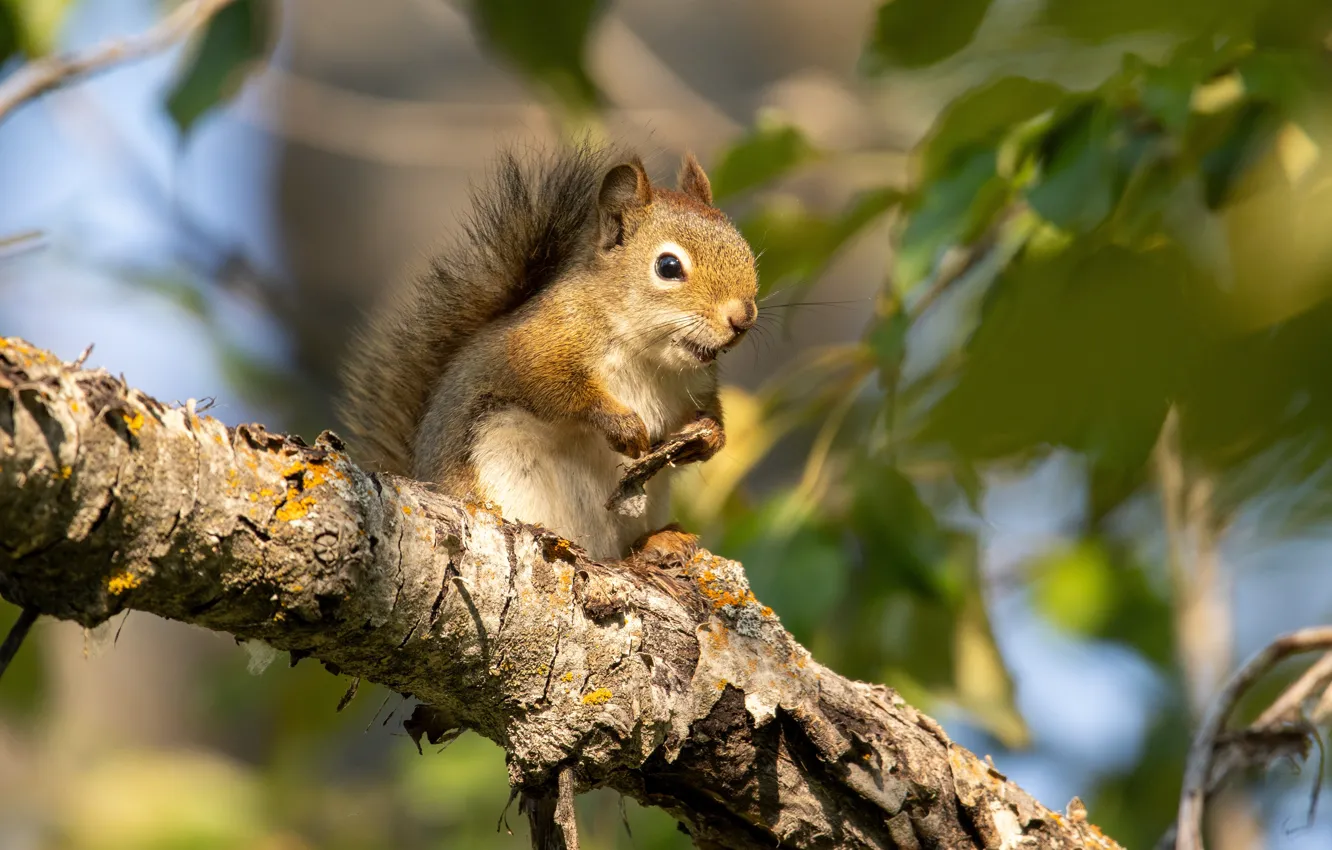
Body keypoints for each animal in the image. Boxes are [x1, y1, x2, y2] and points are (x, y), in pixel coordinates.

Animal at [338, 143, 761, 562]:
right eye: (668, 266)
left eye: (746, 252)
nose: (742, 318)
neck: (649, 357)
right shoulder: (536, 345)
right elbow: (556, 386)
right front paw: (621, 423)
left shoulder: (699, 384)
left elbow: (712, 415)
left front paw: (707, 436)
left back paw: (659, 540)